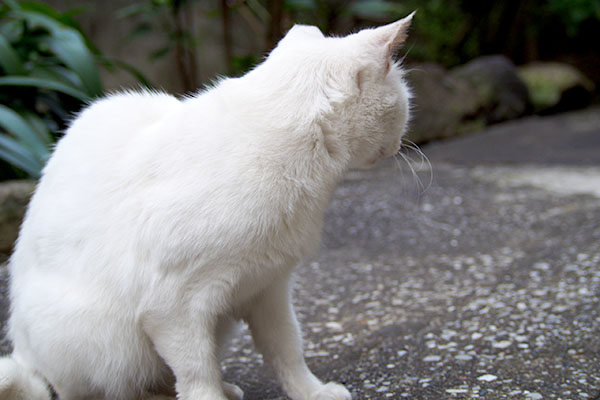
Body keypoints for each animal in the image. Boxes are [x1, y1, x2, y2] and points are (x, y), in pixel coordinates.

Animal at [0, 13, 412, 400]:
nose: (399, 144)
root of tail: (21, 345)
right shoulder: (174, 307)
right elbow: (197, 370)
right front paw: (209, 394)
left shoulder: (269, 287)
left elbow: (287, 349)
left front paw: (311, 392)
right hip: (99, 339)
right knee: (101, 389)